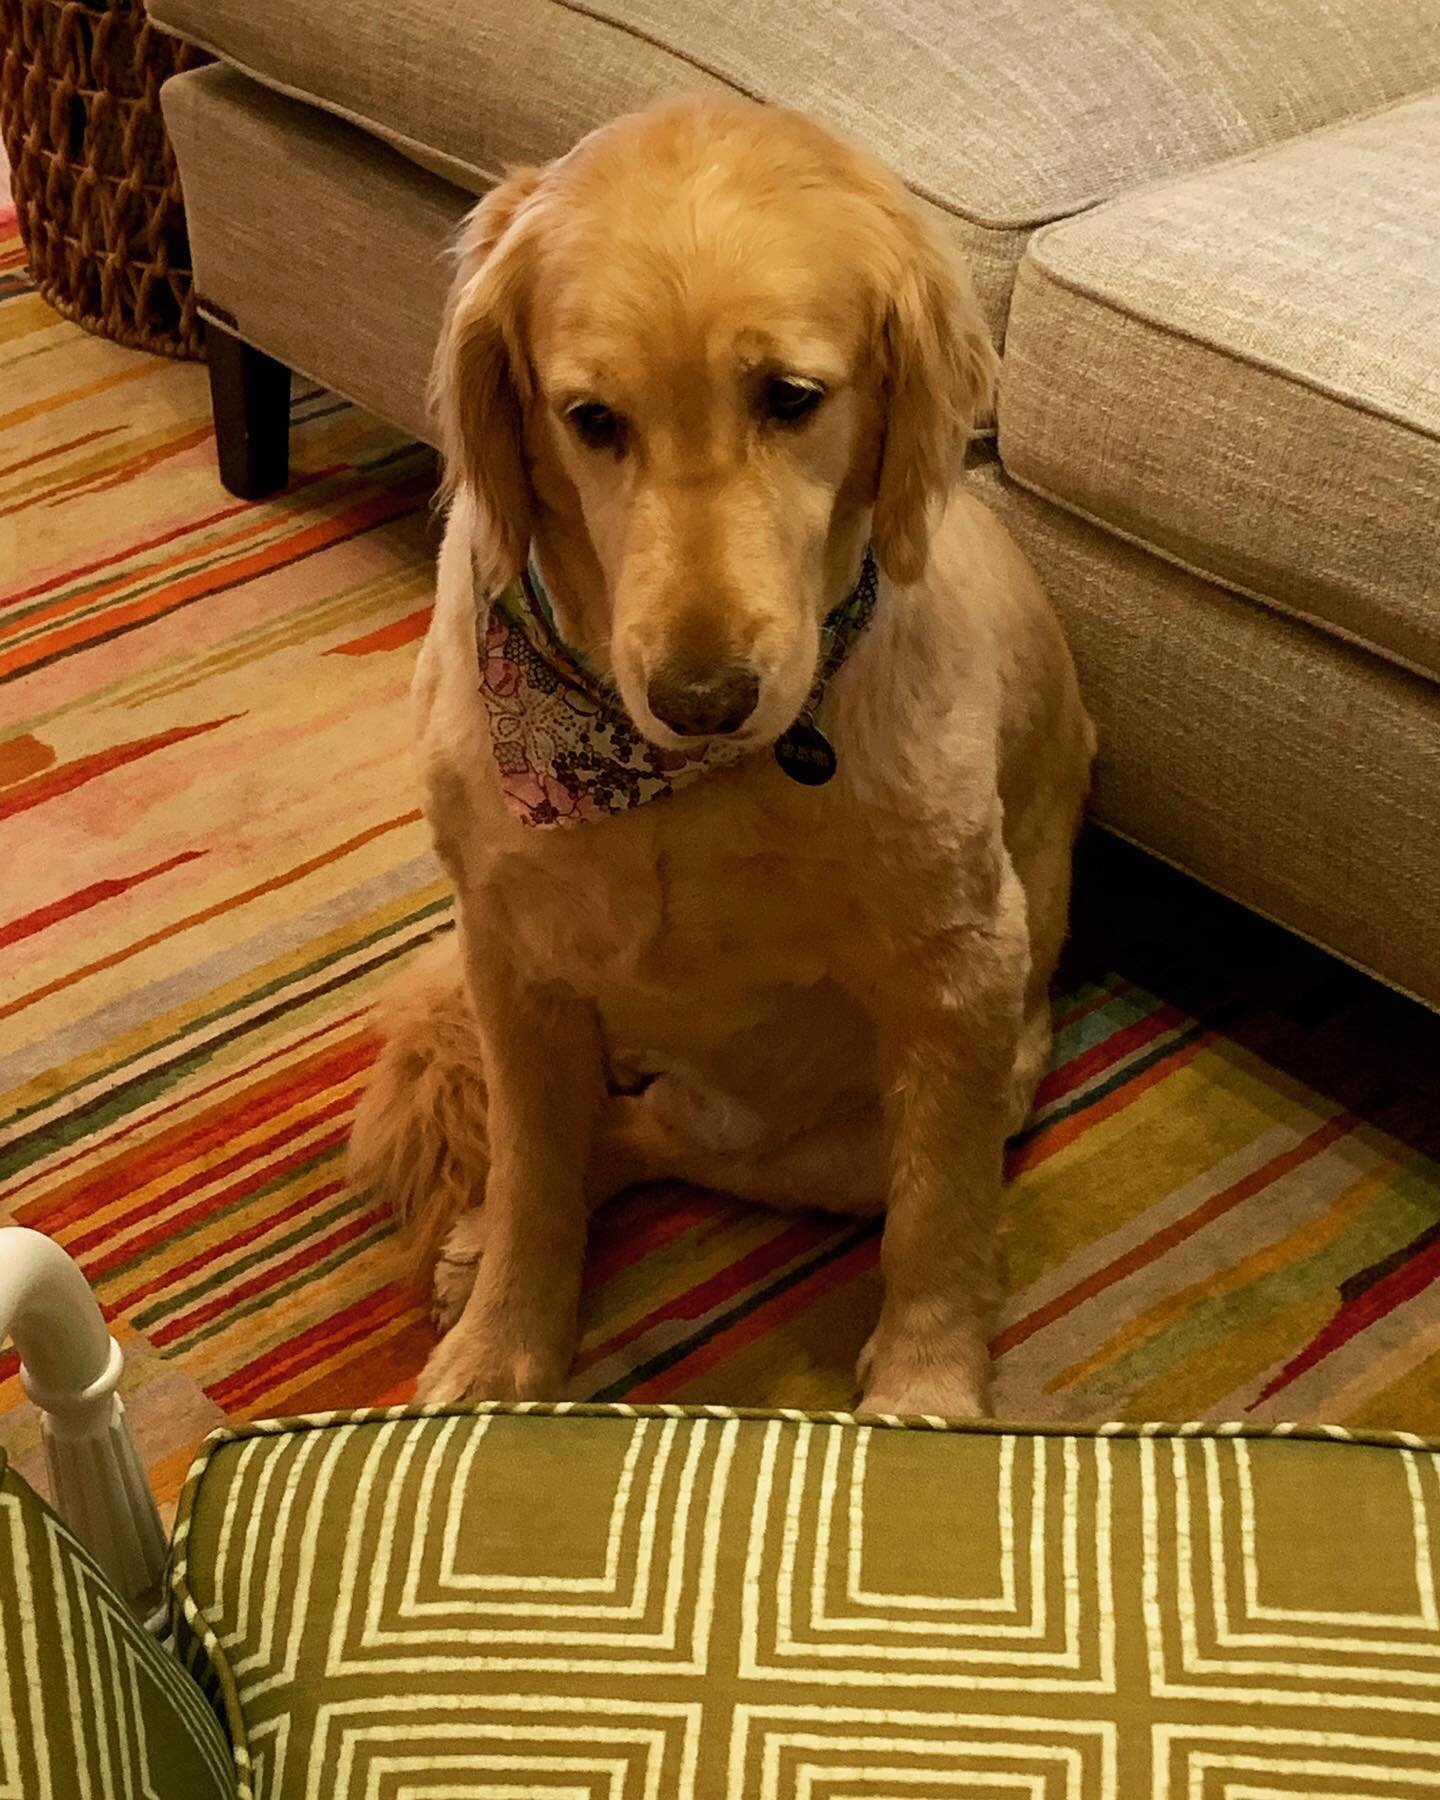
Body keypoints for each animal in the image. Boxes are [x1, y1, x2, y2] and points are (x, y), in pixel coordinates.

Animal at [349, 94, 1094, 1418]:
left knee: (657, 1136)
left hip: (866, 1127)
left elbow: (940, 1221)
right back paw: (481, 1245)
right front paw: (500, 1352)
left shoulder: (962, 975)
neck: (653, 778)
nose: (702, 699)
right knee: (585, 1139)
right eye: (591, 420)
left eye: (791, 397)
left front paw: (926, 1390)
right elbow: (530, 1168)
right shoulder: (511, 956)